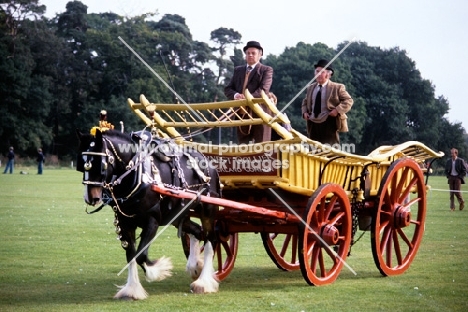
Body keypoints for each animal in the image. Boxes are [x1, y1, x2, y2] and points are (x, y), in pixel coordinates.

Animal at [76, 128, 221, 298]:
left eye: (101, 164)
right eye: (82, 164)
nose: (91, 197)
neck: (137, 174)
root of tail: (208, 162)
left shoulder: (152, 220)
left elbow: (141, 255)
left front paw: (158, 270)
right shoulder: (125, 224)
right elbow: (131, 256)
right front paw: (132, 289)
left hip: (208, 210)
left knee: (211, 240)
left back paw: (203, 282)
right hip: (177, 215)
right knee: (198, 232)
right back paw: (195, 265)